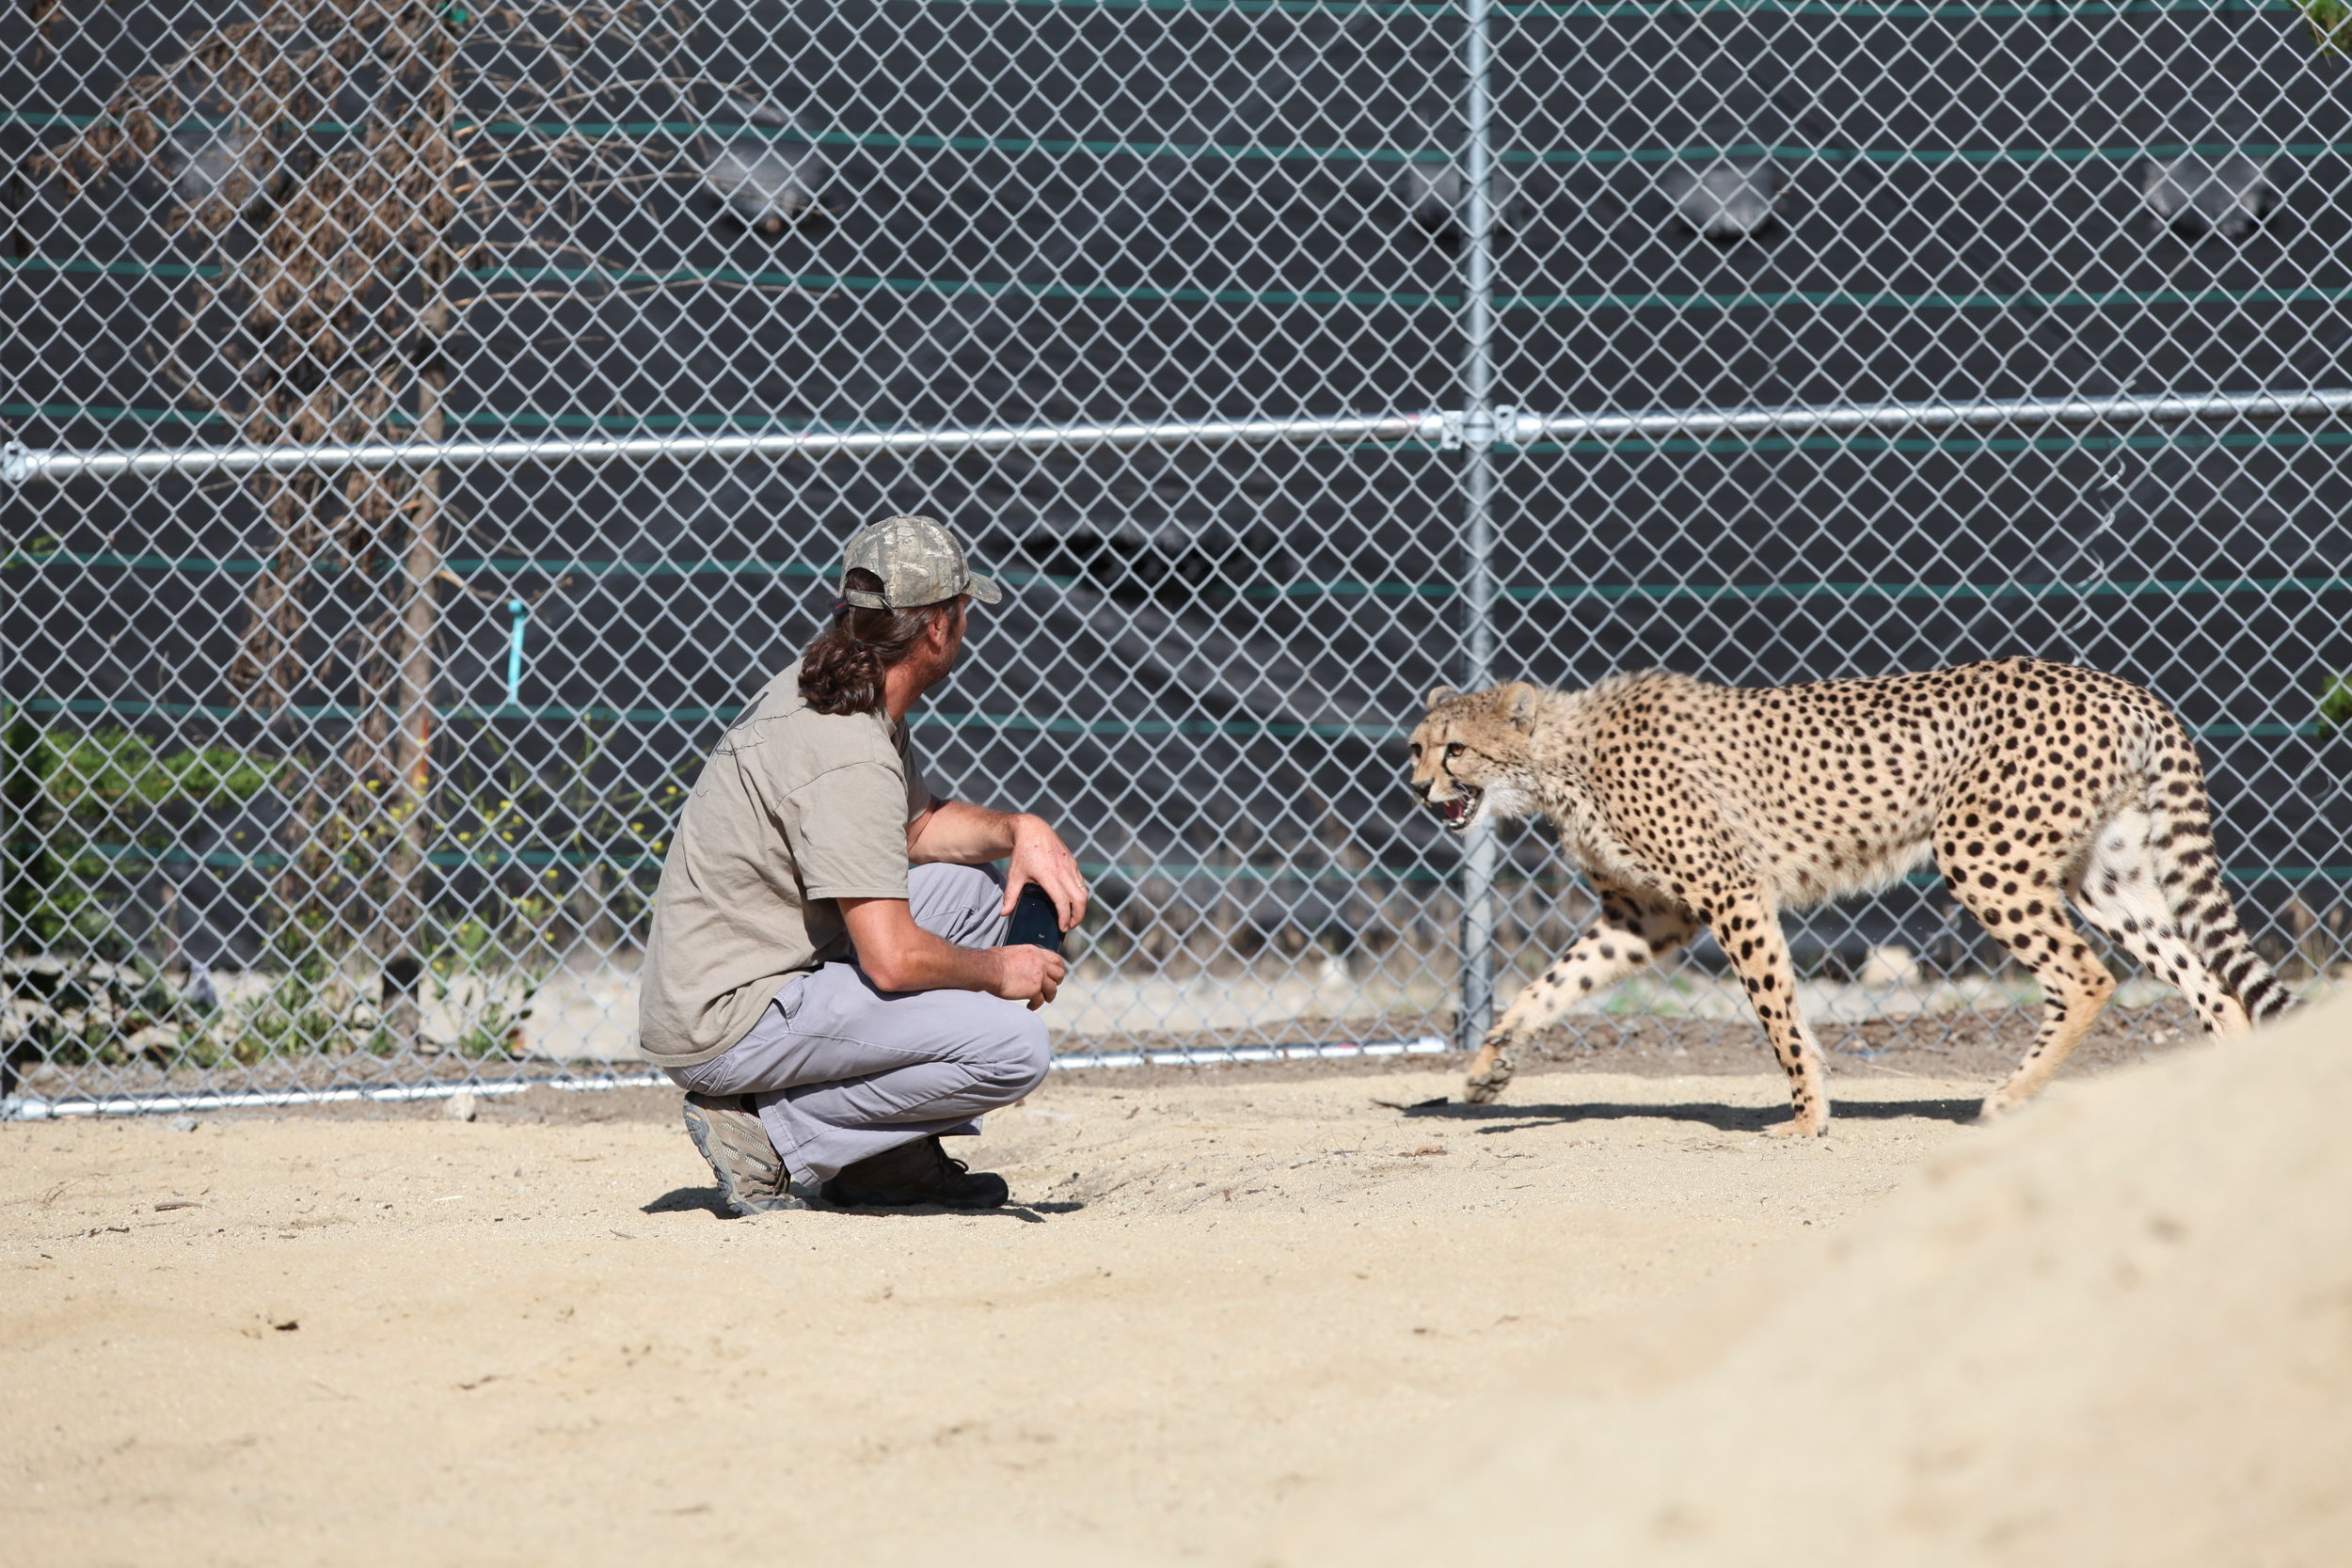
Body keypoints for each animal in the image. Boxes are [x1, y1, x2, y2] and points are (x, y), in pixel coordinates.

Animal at [1402, 657, 2286, 1132]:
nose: (1414, 788)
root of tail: (2120, 685)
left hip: (1982, 853)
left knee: (2086, 975)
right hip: (2106, 874)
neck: (1558, 758)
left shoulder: (1730, 891)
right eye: (1418, 747)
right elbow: (1547, 986)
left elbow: (1777, 1013)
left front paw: (1806, 1112)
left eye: (1456, 750)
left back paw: (2009, 1093)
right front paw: (1488, 1070)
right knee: (2209, 983)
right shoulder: (1647, 916)